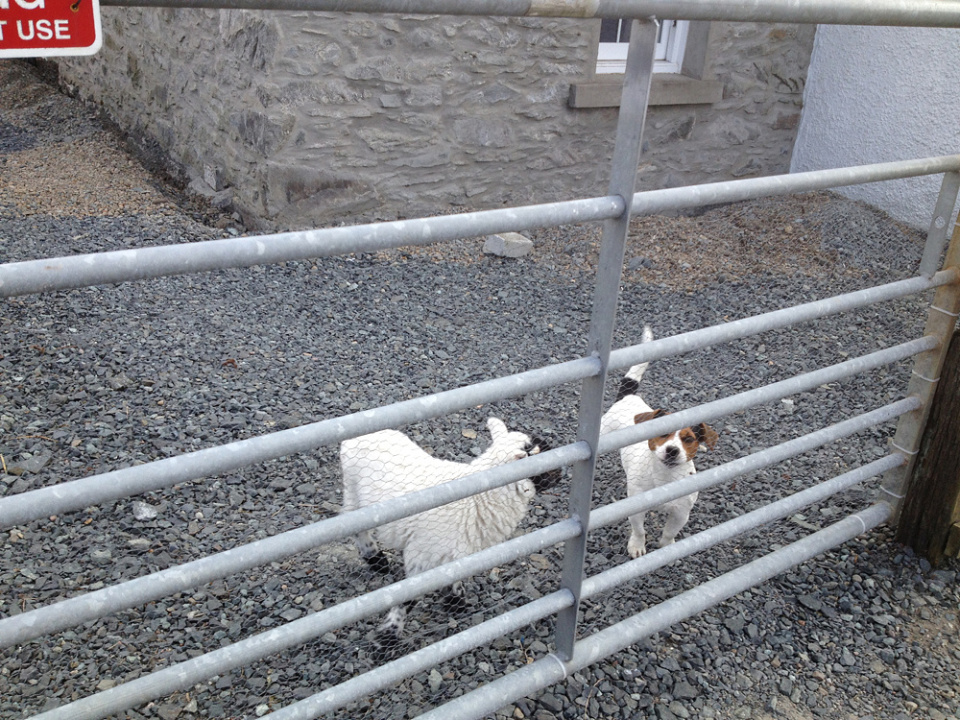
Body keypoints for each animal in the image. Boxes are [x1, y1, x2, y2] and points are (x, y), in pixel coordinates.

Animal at [340, 416, 558, 653]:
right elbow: (408, 597)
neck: (479, 499)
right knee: (357, 529)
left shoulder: (454, 554)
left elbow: (453, 579)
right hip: (353, 494)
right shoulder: (422, 555)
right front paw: (387, 637)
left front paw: (456, 603)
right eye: (542, 454)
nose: (561, 475)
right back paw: (376, 560)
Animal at [600, 327, 719, 558]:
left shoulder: (681, 512)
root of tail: (628, 397)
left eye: (688, 439)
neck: (665, 477)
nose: (672, 450)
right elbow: (639, 530)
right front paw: (637, 546)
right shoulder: (637, 510)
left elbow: (669, 532)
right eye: (663, 433)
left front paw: (667, 548)